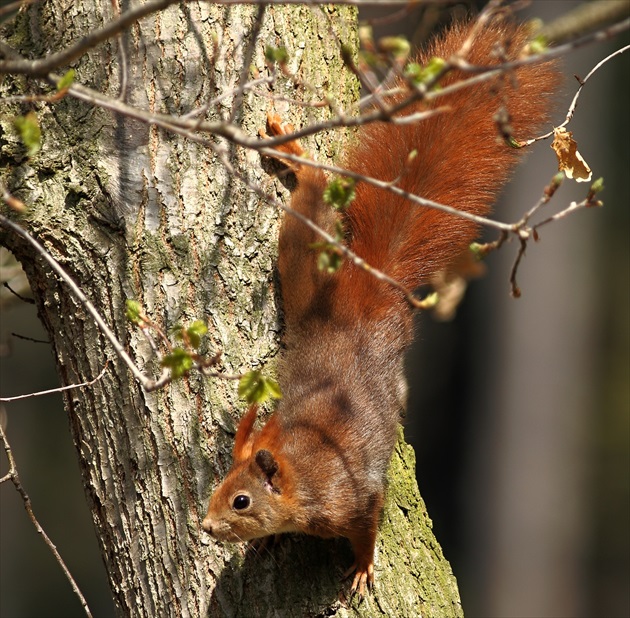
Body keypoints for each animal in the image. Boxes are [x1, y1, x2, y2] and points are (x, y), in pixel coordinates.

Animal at [202, 16, 556, 596]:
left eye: (241, 500)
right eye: (219, 486)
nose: (206, 525)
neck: (303, 473)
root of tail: (362, 303)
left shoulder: (356, 496)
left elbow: (367, 527)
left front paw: (363, 566)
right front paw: (271, 542)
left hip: (305, 255)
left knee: (314, 190)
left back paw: (297, 156)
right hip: (306, 272)